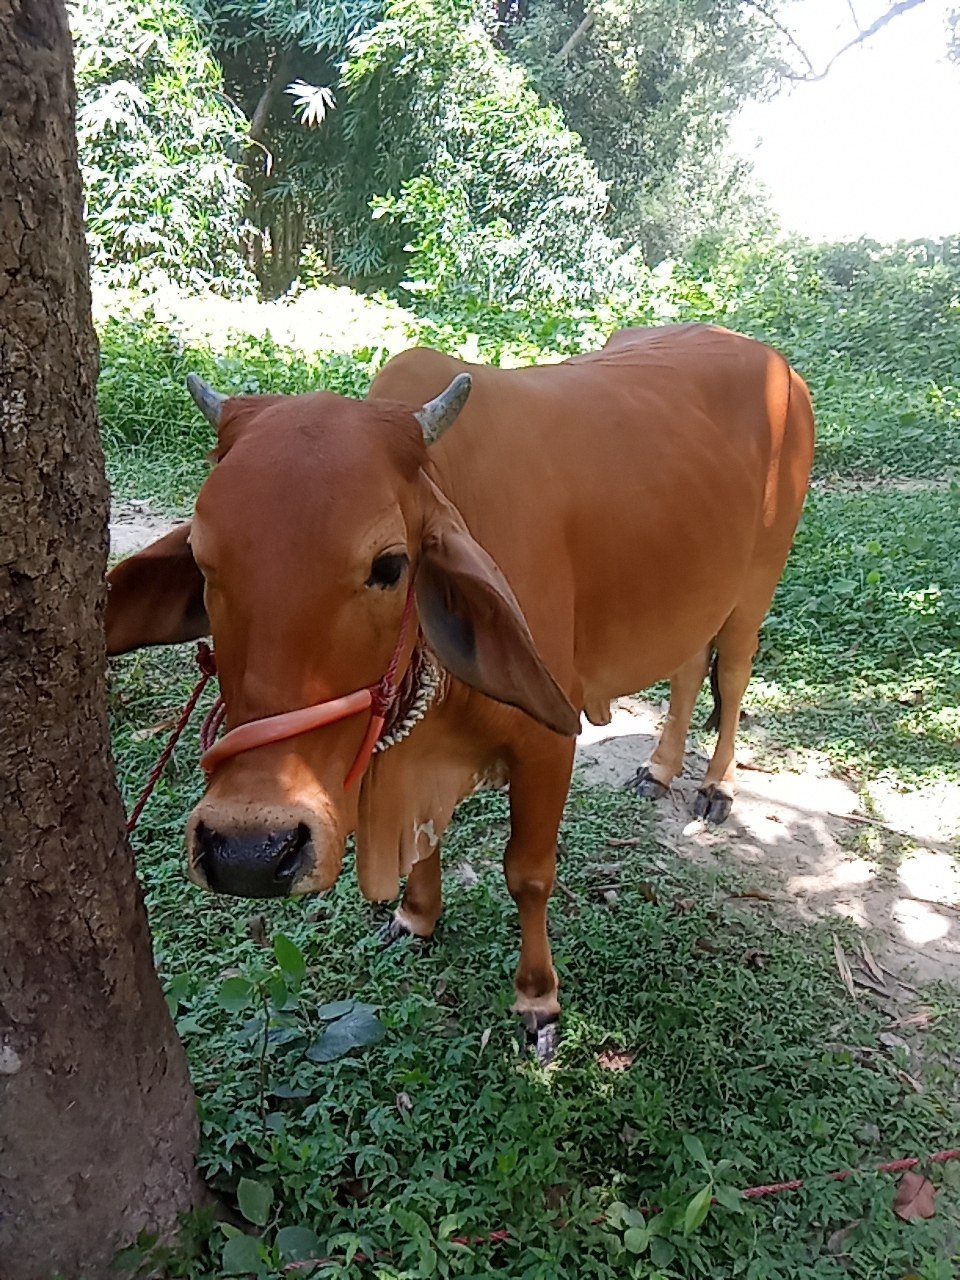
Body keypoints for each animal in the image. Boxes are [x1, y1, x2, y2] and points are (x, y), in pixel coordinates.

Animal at [106, 323, 814, 1057]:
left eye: (390, 565)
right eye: (201, 562)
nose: (248, 852)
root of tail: (767, 358)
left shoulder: (548, 744)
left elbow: (529, 874)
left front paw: (538, 999)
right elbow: (425, 845)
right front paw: (416, 918)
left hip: (757, 584)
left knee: (732, 673)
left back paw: (716, 786)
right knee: (687, 665)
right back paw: (660, 769)